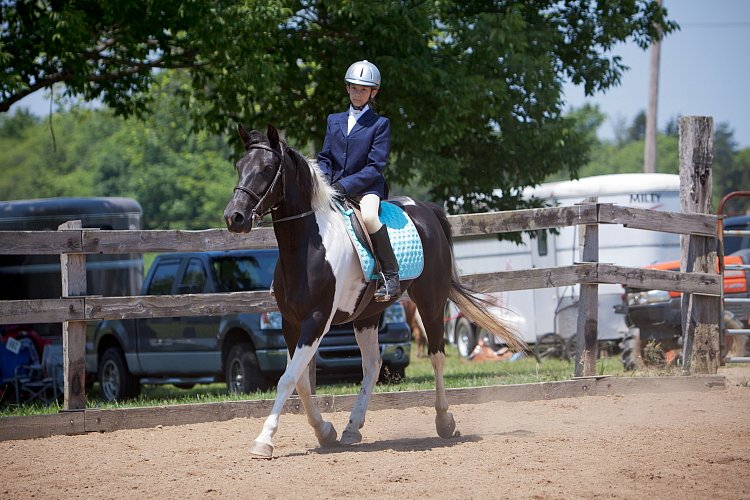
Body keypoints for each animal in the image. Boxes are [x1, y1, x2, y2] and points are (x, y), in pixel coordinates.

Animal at [226, 124, 524, 458]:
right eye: (239, 166)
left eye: (267, 169)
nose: (234, 217)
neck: (306, 248)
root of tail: (426, 210)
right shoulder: (291, 323)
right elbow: (300, 380)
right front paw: (325, 431)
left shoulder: (316, 320)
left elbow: (287, 379)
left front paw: (264, 440)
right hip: (367, 315)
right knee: (372, 365)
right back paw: (352, 428)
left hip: (430, 301)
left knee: (436, 356)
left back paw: (444, 421)